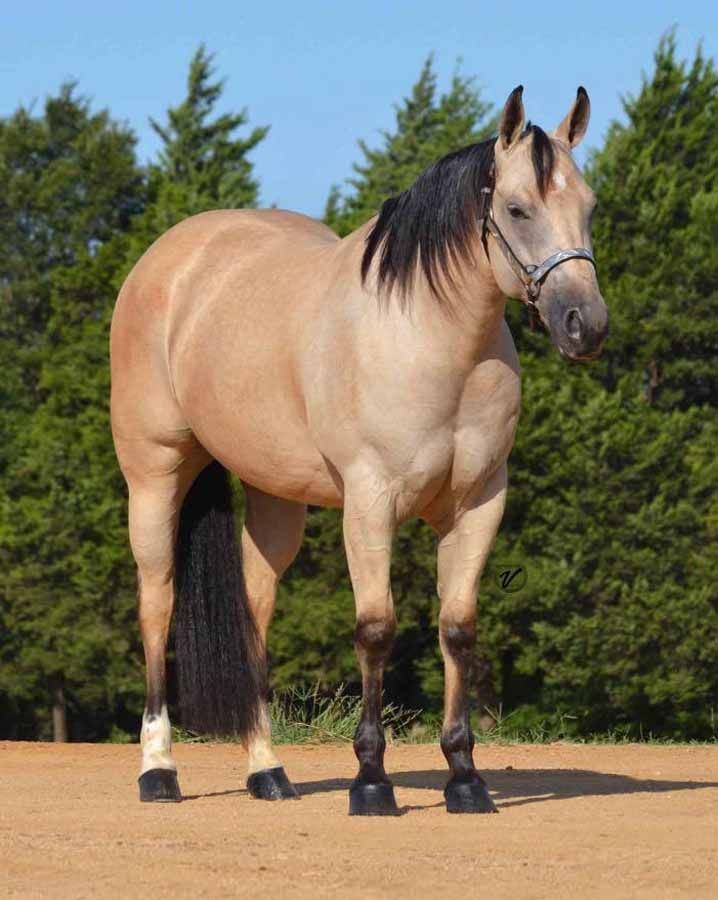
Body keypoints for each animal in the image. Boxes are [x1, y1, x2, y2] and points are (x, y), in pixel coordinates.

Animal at [110, 85, 608, 815]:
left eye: (588, 207)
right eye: (518, 209)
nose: (585, 325)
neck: (430, 338)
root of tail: (171, 259)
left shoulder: (479, 504)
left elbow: (457, 628)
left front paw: (465, 779)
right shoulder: (371, 502)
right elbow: (375, 627)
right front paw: (372, 781)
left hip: (274, 499)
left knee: (255, 611)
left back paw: (268, 771)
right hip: (154, 474)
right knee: (157, 603)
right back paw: (157, 771)